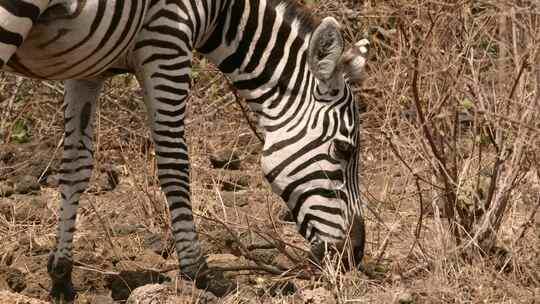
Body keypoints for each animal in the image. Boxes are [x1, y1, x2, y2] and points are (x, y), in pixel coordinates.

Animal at [0, 0, 368, 300]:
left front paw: (61, 275)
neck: (223, 11)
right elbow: (174, 162)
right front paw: (199, 270)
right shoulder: (167, 41)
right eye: (343, 150)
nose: (354, 254)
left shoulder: (88, 67)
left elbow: (76, 167)